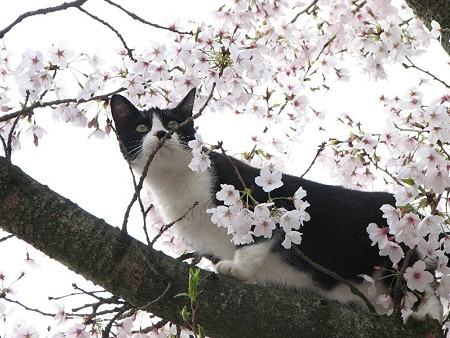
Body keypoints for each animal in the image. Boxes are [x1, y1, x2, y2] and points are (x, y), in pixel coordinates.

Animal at [110, 87, 442, 322]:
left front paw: (238, 269)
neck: (177, 183)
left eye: (175, 122)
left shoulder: (248, 189)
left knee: (419, 279)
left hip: (396, 241)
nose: (161, 133)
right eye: (141, 128)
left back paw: (425, 313)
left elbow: (258, 235)